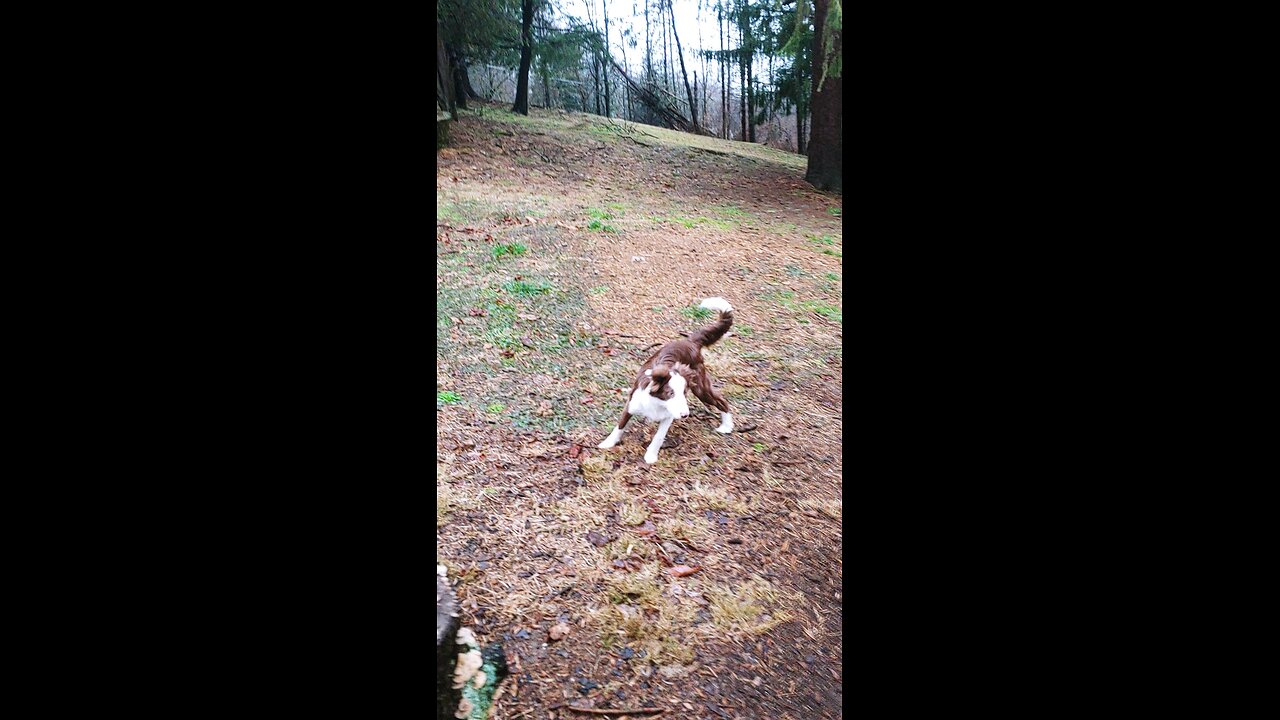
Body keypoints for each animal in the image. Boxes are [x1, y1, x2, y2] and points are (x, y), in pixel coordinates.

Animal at [596, 295, 737, 458]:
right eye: (670, 393)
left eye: (684, 393)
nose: (685, 415)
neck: (658, 403)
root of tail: (689, 340)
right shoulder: (632, 404)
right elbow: (620, 426)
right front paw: (607, 443)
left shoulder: (668, 416)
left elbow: (659, 437)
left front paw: (650, 457)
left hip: (700, 388)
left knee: (721, 401)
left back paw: (726, 426)